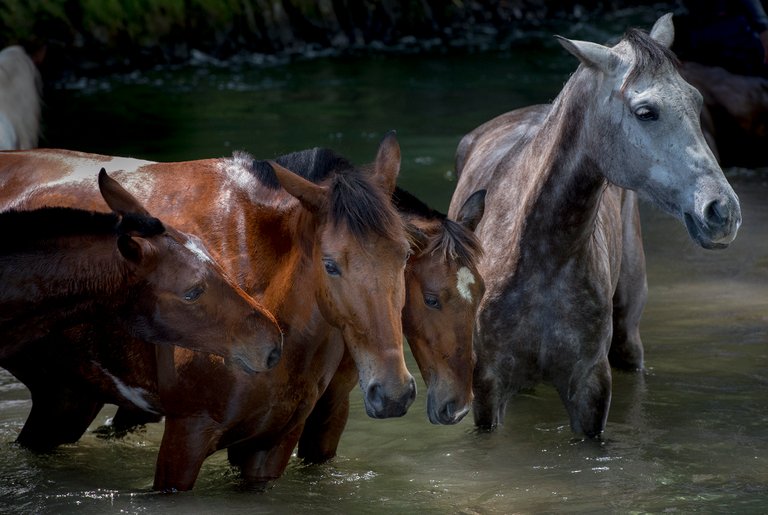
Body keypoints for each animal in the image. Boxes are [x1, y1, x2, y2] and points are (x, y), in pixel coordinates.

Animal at [0, 134, 414, 492]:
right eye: (330, 264)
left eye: (406, 253)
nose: (393, 393)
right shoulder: (187, 433)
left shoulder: (275, 443)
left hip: (65, 397)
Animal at [448, 13, 740, 440]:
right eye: (645, 111)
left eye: (696, 101)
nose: (722, 211)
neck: (539, 256)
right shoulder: (488, 386)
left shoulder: (590, 388)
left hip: (628, 334)